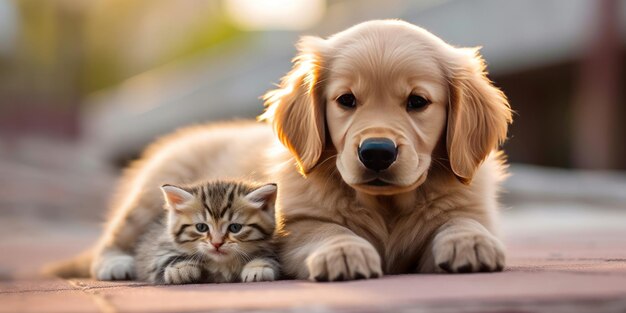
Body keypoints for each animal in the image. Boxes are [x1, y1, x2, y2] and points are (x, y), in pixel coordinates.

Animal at [135, 179, 280, 284]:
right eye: (201, 227)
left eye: (235, 228)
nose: (217, 244)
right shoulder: (160, 245)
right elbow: (164, 257)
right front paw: (180, 268)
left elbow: (269, 256)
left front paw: (259, 267)